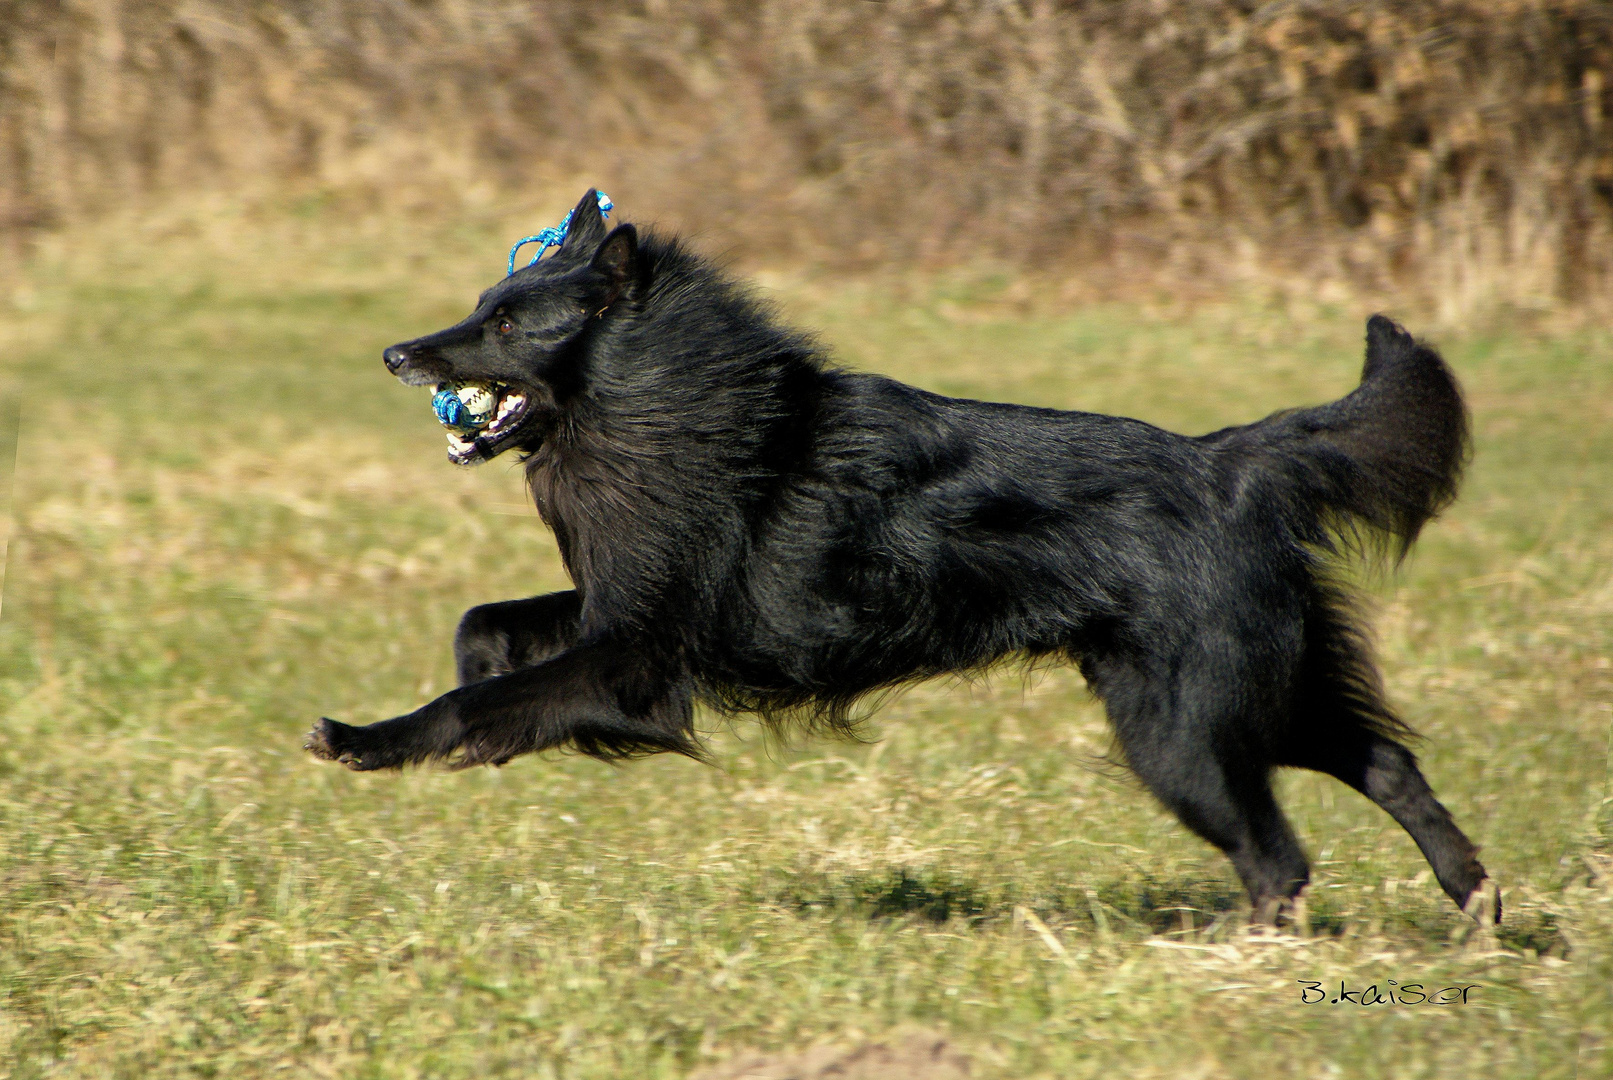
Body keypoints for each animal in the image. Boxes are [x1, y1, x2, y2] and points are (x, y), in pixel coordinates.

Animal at [304, 190, 1496, 928]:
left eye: (508, 327)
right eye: (479, 309)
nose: (396, 354)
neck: (665, 402)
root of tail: (1231, 461)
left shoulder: (638, 659)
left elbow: (478, 699)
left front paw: (374, 740)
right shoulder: (623, 615)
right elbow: (484, 629)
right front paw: (473, 710)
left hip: (1182, 728)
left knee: (1277, 857)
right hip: (1253, 693)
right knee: (1385, 763)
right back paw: (1475, 903)